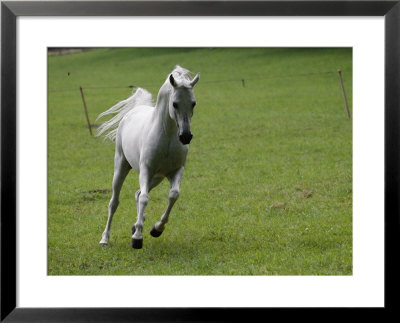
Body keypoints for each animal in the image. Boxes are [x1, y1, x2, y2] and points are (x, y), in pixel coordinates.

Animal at [97, 65, 200, 248]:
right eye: (175, 103)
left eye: (193, 103)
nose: (186, 136)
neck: (167, 137)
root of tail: (135, 109)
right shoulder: (146, 169)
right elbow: (145, 199)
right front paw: (137, 238)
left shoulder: (175, 171)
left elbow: (173, 195)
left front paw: (156, 229)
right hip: (122, 166)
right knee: (115, 202)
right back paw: (105, 239)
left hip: (157, 178)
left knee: (138, 193)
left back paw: (136, 225)